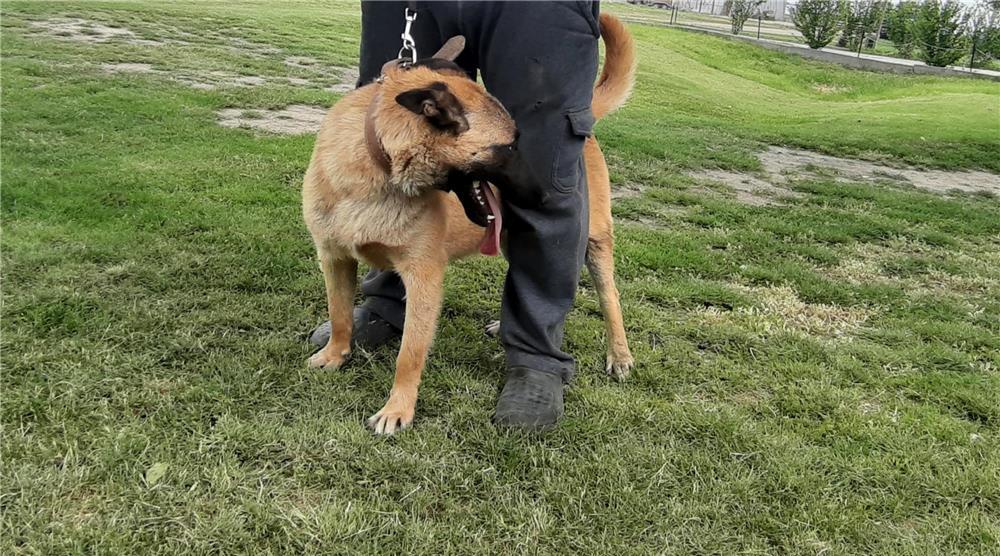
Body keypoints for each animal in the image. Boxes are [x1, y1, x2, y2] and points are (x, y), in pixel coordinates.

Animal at [302, 13, 636, 434]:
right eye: (509, 147)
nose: (547, 195)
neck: (378, 167)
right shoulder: (334, 260)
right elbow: (340, 314)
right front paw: (335, 355)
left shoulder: (424, 278)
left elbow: (409, 353)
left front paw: (398, 409)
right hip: (509, 238)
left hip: (595, 244)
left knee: (611, 298)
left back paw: (619, 355)